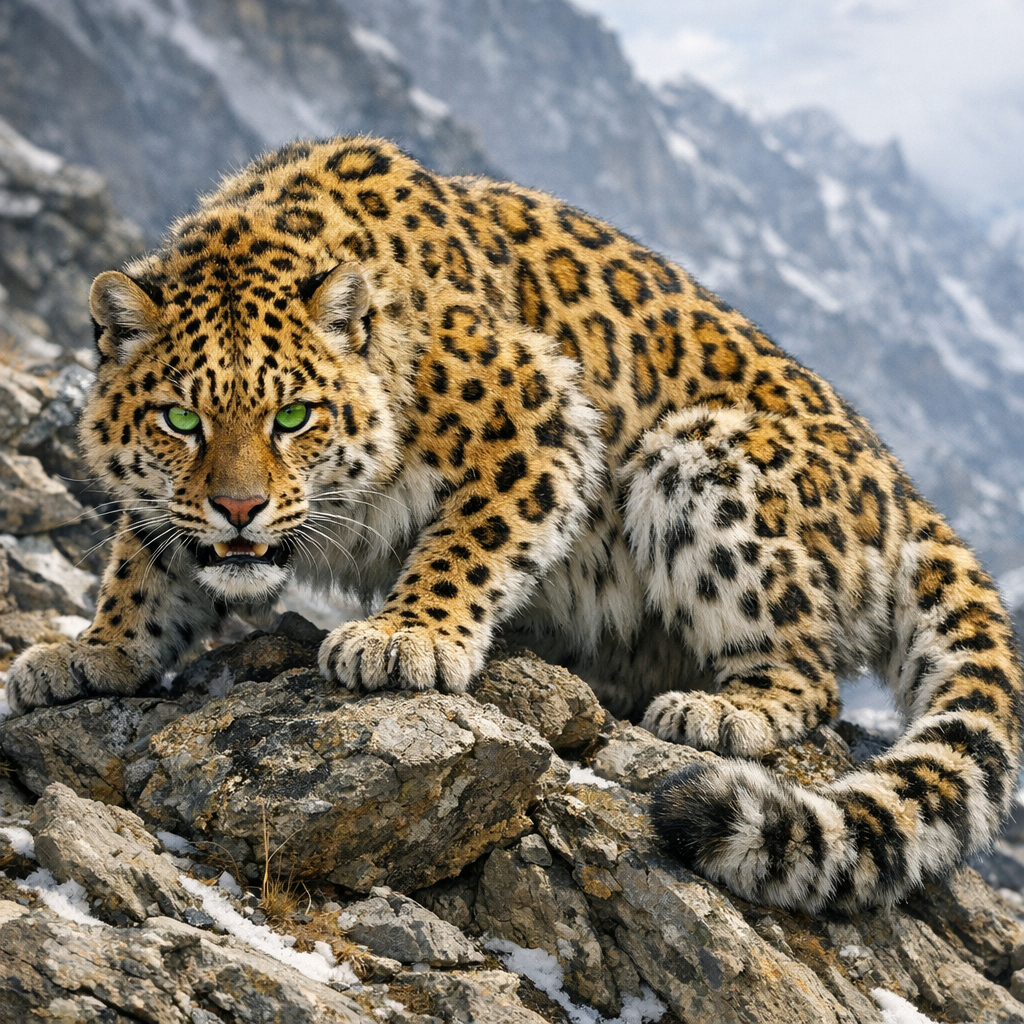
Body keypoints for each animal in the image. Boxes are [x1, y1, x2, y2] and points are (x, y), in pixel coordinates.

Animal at [7, 137, 1021, 913]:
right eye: (181, 420)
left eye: (294, 417)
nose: (240, 507)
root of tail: (907, 491)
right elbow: (143, 558)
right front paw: (96, 651)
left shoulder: (538, 414)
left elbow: (469, 542)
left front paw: (405, 640)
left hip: (698, 453)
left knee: (811, 678)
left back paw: (720, 709)